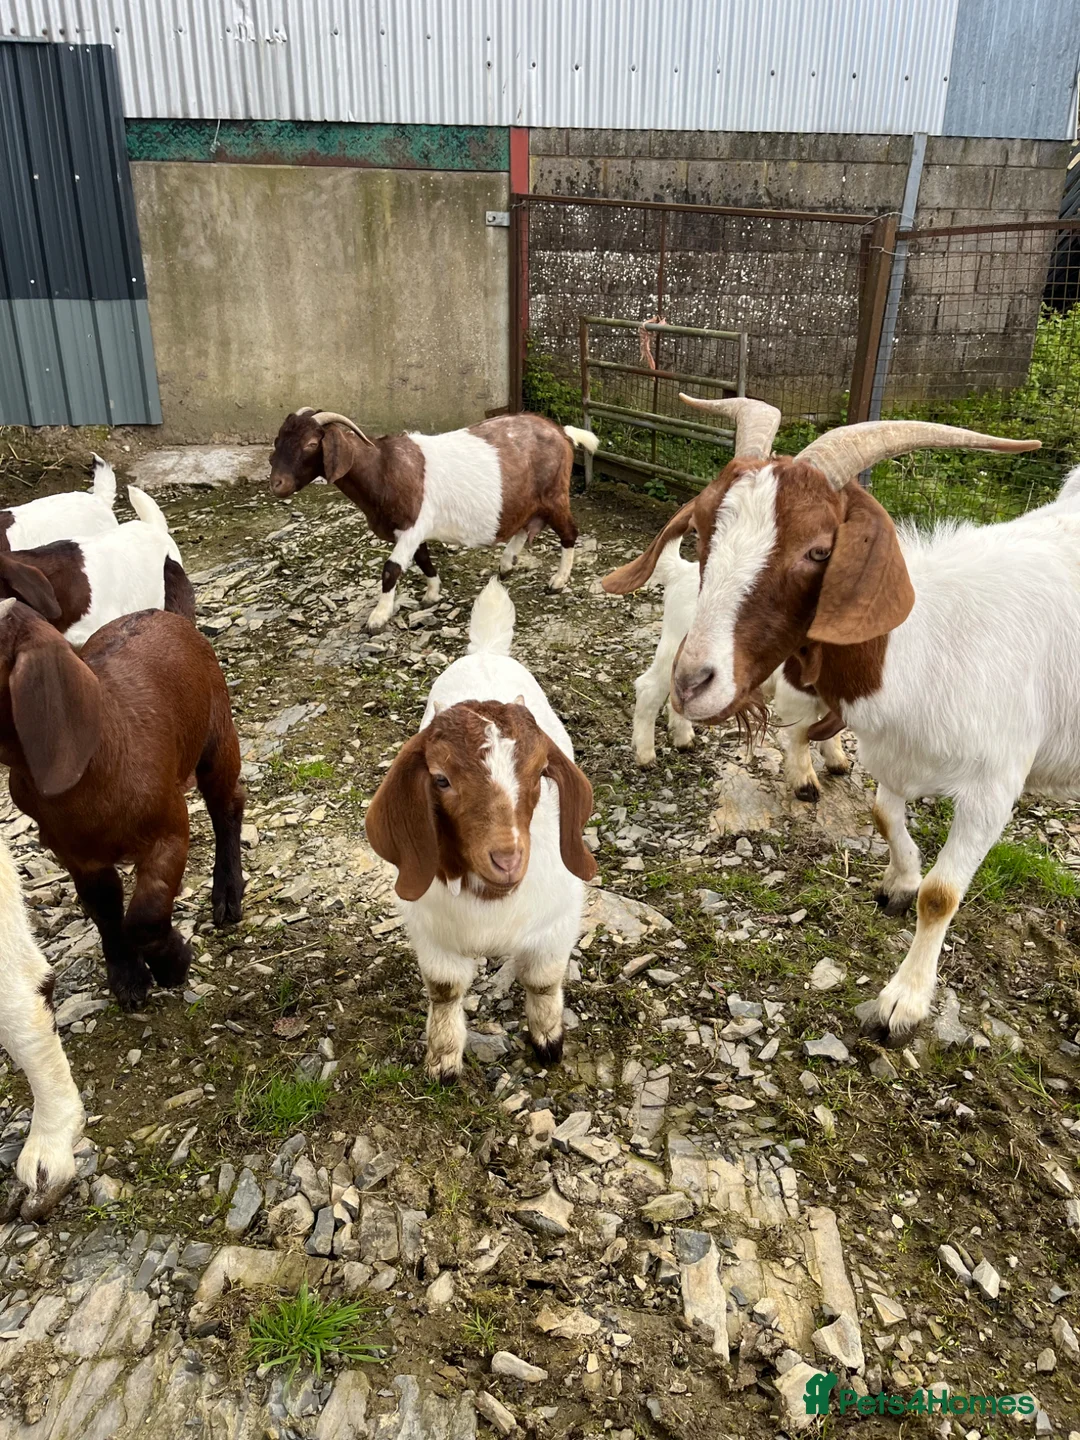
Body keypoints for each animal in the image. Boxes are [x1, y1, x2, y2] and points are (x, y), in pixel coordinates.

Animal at [0, 601, 245, 1010]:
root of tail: (166, 613)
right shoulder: (78, 856)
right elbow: (106, 911)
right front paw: (127, 978)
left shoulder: (169, 831)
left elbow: (144, 916)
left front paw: (173, 964)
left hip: (217, 735)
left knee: (227, 806)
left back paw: (227, 894)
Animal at [269, 409, 598, 631]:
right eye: (278, 440)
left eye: (312, 444)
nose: (277, 484)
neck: (382, 467)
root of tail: (562, 432)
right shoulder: (409, 531)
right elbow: (423, 558)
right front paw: (432, 593)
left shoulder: (413, 524)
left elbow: (391, 569)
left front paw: (378, 617)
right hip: (529, 500)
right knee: (525, 527)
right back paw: (506, 564)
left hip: (554, 495)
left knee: (569, 532)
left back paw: (558, 581)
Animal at [366, 576, 596, 1081]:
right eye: (441, 779)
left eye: (540, 772)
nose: (507, 859)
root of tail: (487, 650)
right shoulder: (430, 933)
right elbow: (445, 989)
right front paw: (443, 1060)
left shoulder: (555, 923)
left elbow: (543, 980)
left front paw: (548, 1040)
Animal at [628, 532, 852, 796]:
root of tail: (680, 571)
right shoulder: (794, 692)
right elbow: (802, 735)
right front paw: (806, 785)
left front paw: (837, 760)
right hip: (676, 646)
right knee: (649, 687)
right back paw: (645, 756)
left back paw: (684, 740)